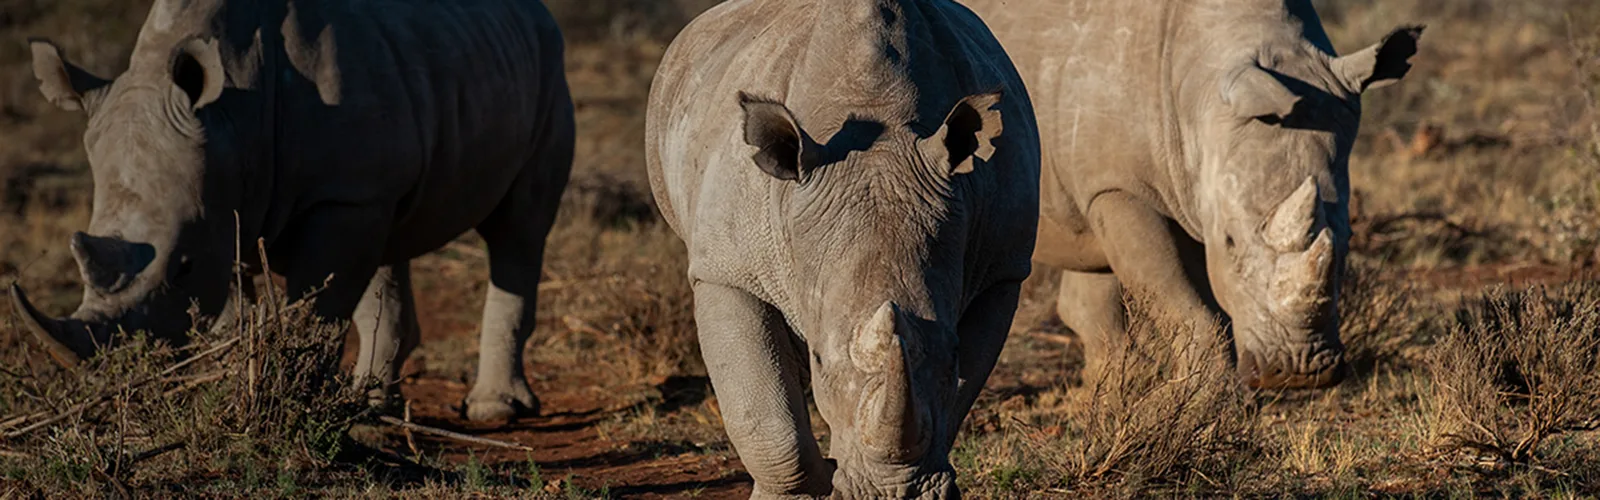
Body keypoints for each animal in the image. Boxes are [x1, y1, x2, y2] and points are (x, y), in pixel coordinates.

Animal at [11, 0, 574, 421]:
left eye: (181, 267)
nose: (123, 368)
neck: (234, 112)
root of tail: (536, 10)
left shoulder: (338, 195)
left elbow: (316, 311)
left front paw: (293, 397)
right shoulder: (230, 203)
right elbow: (234, 312)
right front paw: (224, 389)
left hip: (549, 67)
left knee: (518, 231)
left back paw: (492, 410)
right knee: (389, 242)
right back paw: (374, 402)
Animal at [645, 0, 1038, 497]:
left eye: (952, 353)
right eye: (820, 362)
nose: (895, 493)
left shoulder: (1001, 269)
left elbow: (955, 396)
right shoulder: (727, 270)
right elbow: (765, 423)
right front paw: (807, 484)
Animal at [962, 0, 1421, 389]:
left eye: (1347, 240)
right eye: (1230, 242)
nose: (1299, 373)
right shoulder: (1119, 187)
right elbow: (1182, 302)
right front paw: (1199, 401)